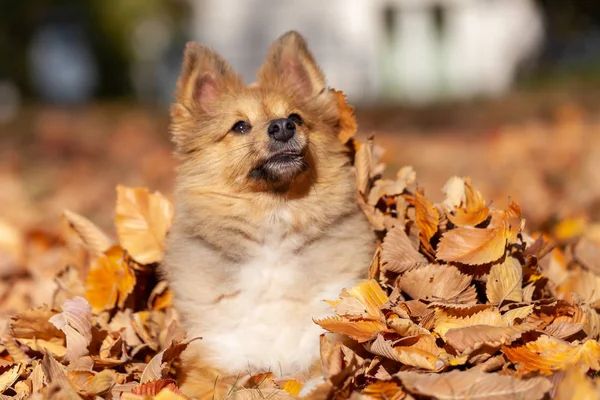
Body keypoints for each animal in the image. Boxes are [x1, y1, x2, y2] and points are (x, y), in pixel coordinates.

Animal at [162, 31, 372, 396]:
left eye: (297, 117)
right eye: (240, 127)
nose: (283, 126)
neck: (274, 216)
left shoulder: (326, 336)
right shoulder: (216, 352)